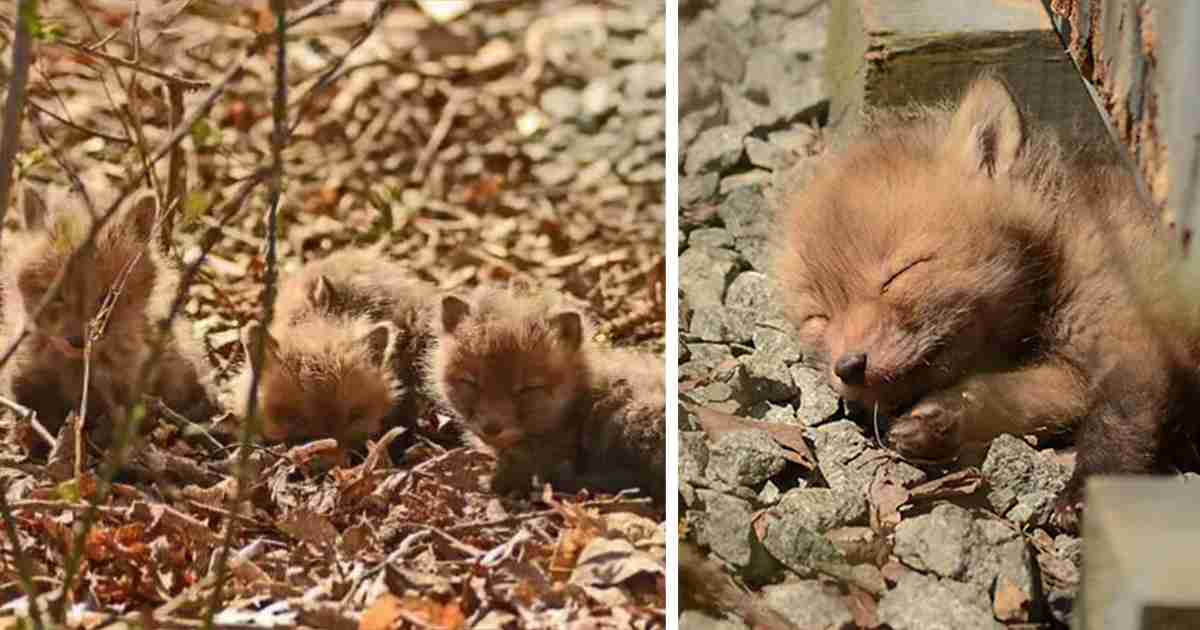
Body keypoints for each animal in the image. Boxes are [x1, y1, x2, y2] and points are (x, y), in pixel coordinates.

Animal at [773, 76, 1200, 529]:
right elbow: (1001, 395)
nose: (849, 367)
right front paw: (938, 421)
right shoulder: (1069, 375)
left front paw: (1084, 493)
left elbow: (1118, 421)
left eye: (901, 274)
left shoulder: (1136, 338)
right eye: (818, 318)